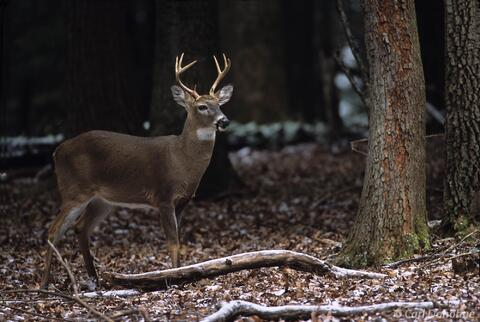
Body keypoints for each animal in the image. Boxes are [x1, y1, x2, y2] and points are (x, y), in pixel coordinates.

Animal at [42, 53, 233, 290]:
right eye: (202, 107)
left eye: (220, 105)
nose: (224, 121)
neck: (182, 160)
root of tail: (57, 152)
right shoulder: (163, 197)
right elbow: (172, 242)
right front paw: (173, 278)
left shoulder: (183, 201)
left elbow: (179, 240)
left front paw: (181, 272)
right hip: (74, 190)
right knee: (52, 231)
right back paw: (44, 284)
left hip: (103, 200)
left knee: (80, 228)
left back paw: (94, 278)